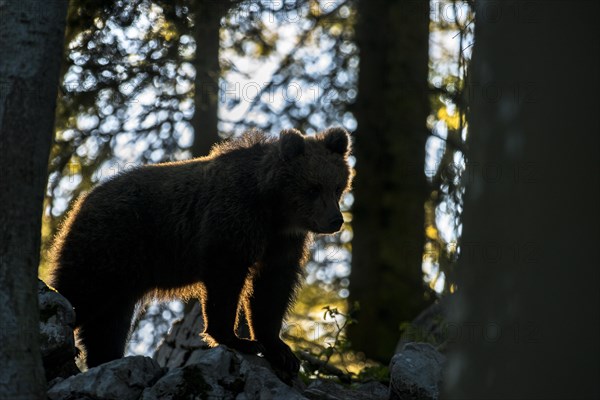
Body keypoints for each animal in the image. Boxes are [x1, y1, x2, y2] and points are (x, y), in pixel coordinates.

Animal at [50, 126, 356, 376]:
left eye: (338, 187)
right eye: (313, 188)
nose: (335, 220)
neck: (274, 210)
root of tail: (81, 202)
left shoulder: (282, 243)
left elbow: (271, 290)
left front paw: (281, 351)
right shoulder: (232, 221)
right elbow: (226, 281)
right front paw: (239, 340)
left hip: (125, 274)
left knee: (110, 322)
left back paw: (107, 357)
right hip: (111, 245)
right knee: (82, 292)